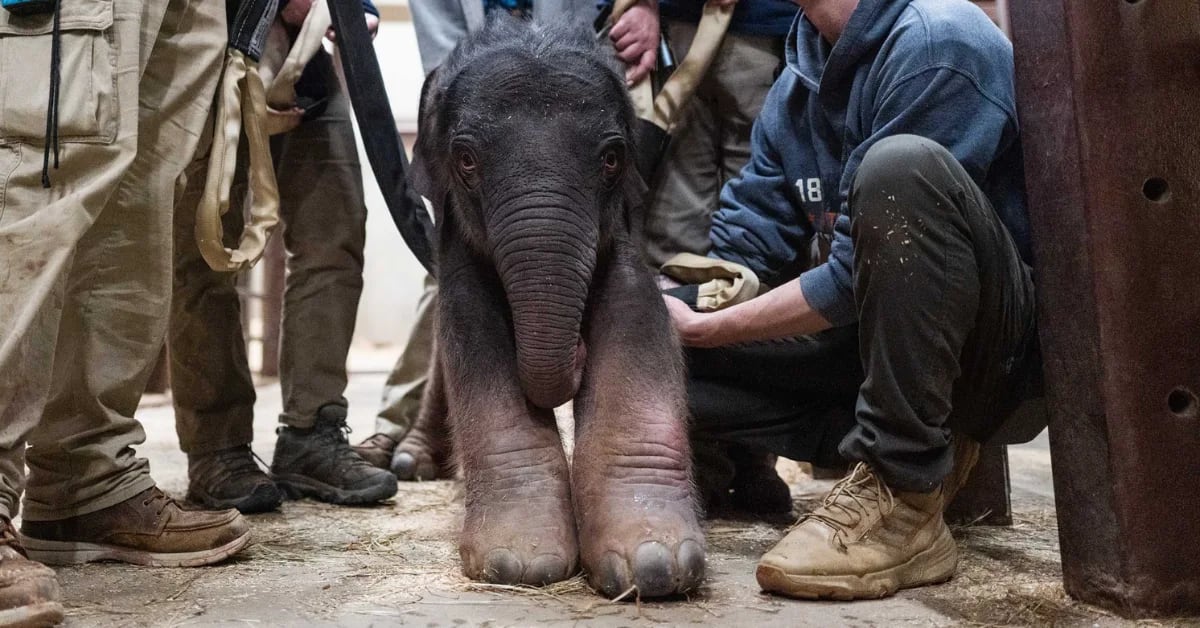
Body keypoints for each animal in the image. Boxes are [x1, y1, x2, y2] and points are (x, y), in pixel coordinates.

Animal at [406, 15, 706, 598]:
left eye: (612, 159)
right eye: (466, 160)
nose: (577, 352)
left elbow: (636, 315)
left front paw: (655, 562)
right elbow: (471, 329)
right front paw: (519, 562)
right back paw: (410, 459)